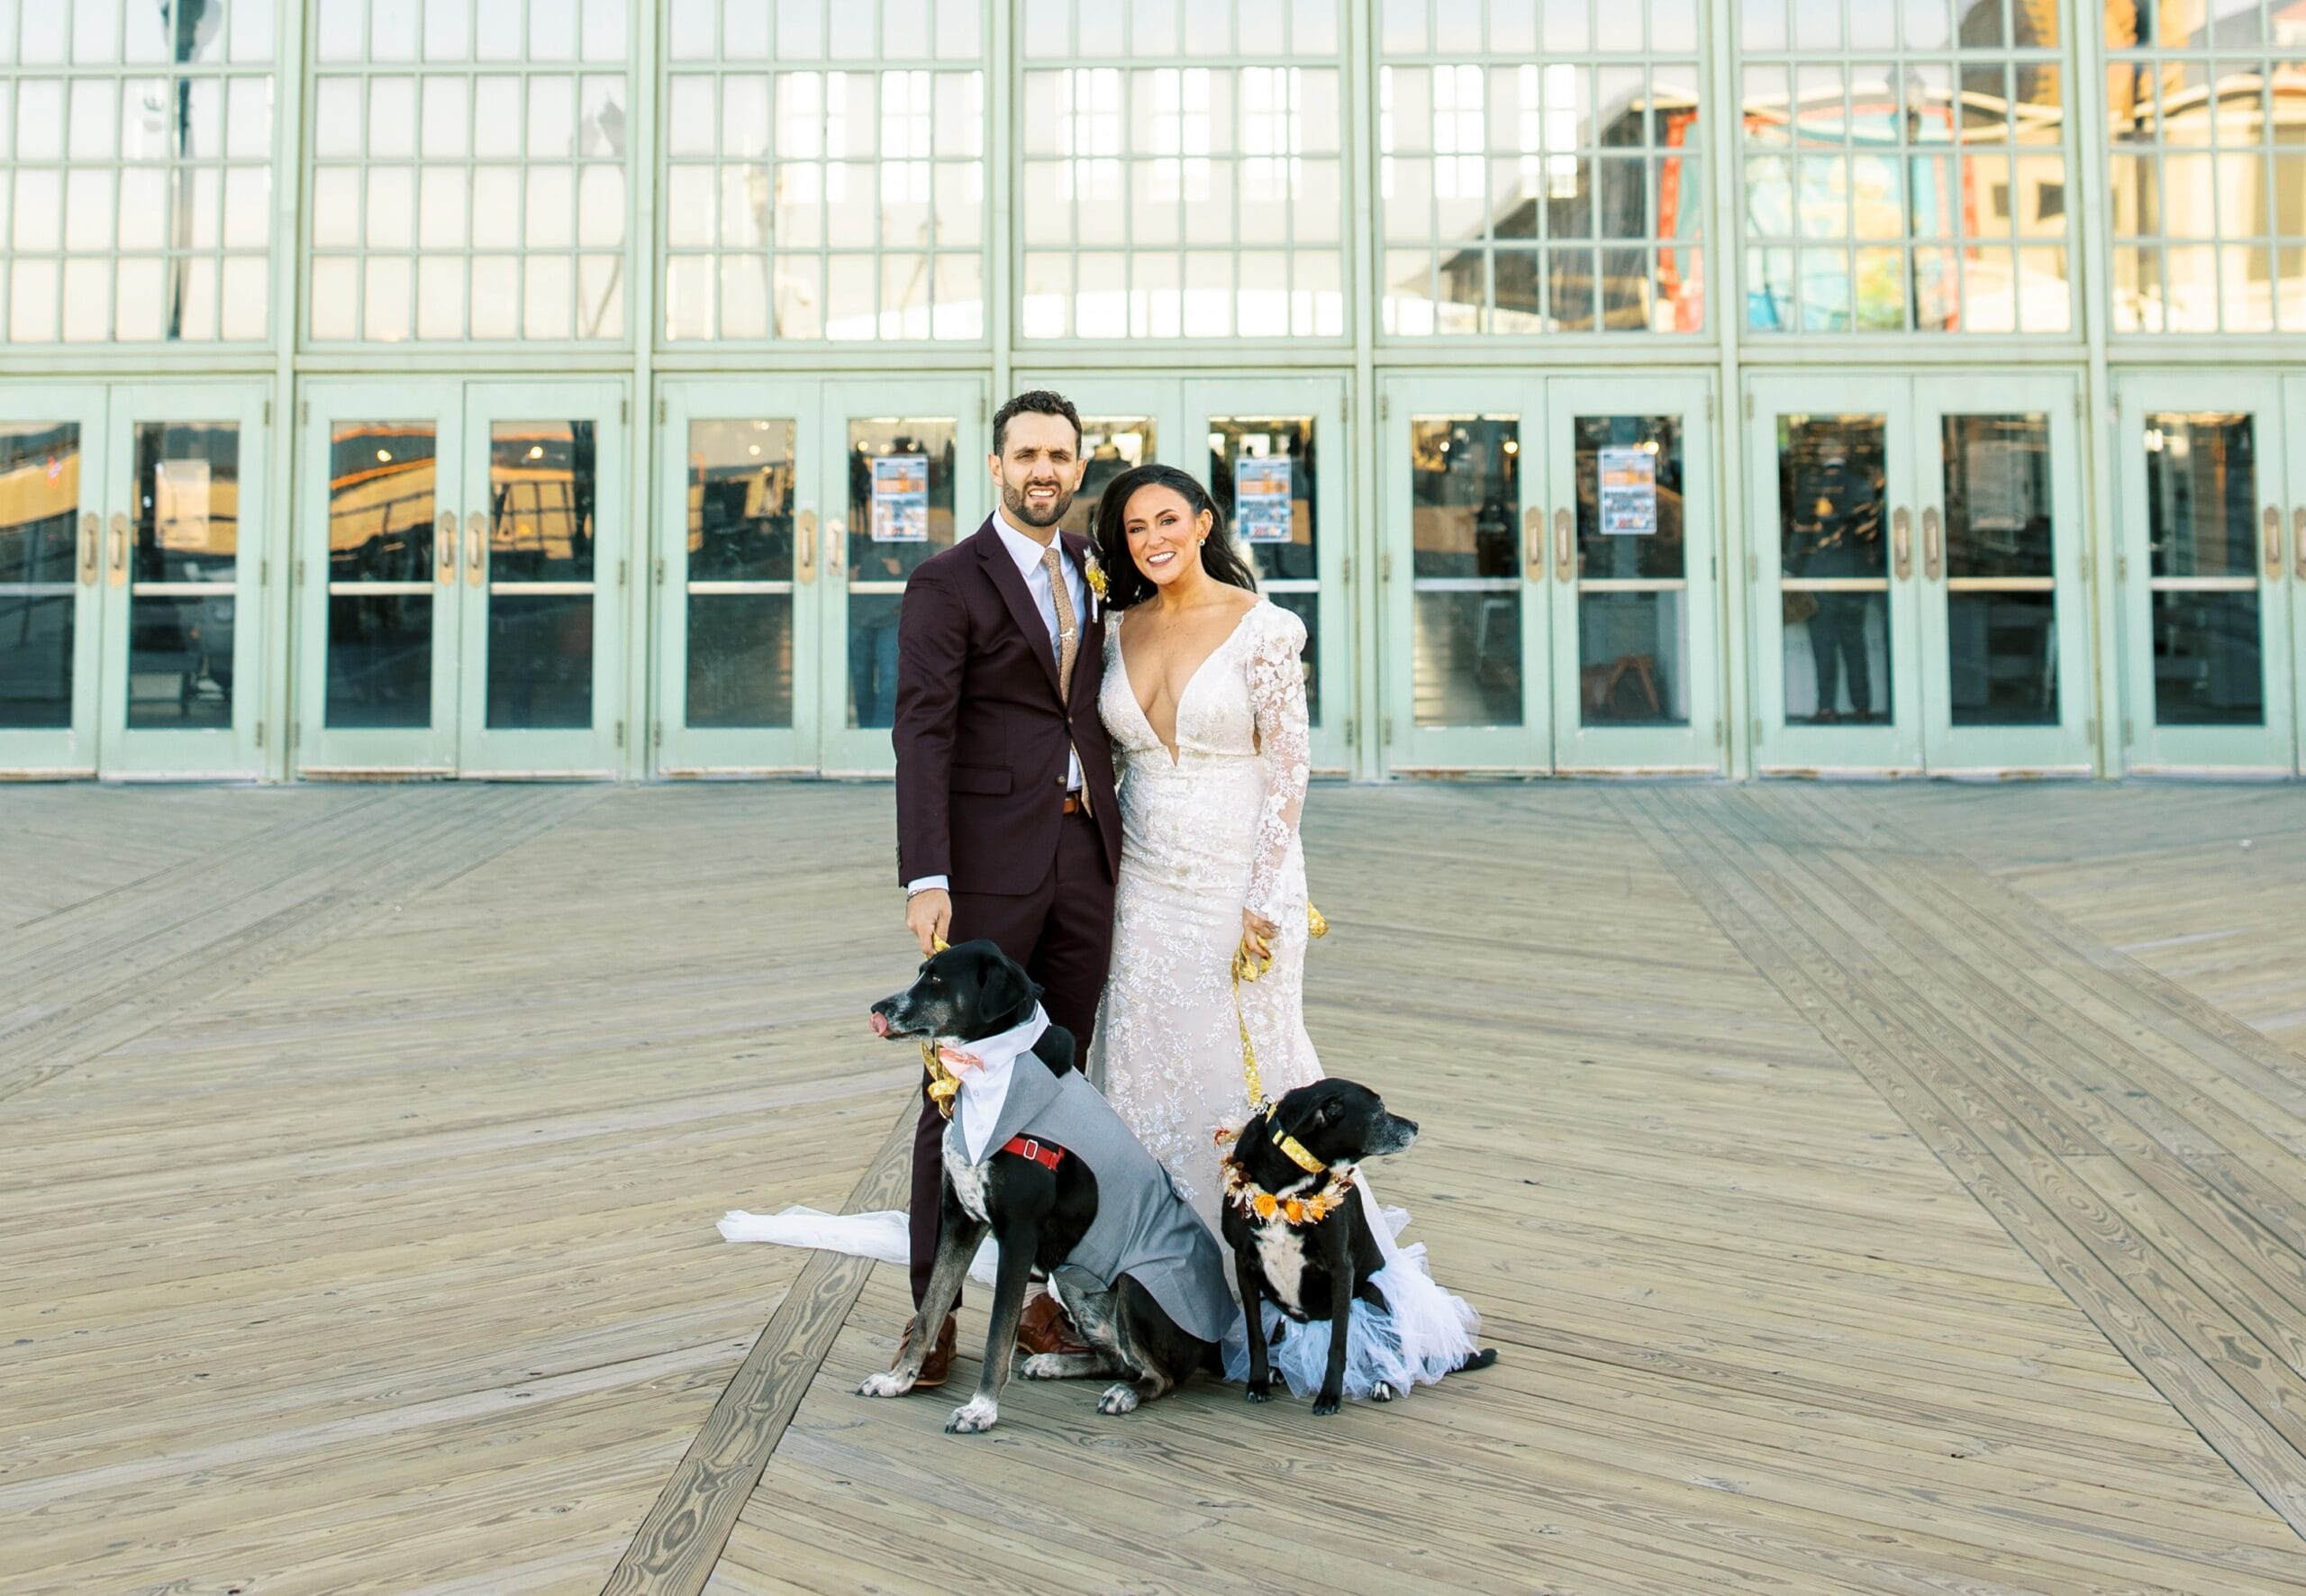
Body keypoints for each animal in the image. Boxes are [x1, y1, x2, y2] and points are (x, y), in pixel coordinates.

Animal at [867, 936, 1226, 1429]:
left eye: (937, 979)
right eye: (923, 971)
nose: (876, 1008)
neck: (994, 1073)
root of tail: (1218, 1344)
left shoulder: (1018, 1235)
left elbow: (999, 1333)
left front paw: (981, 1410)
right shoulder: (960, 1220)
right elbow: (931, 1309)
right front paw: (898, 1379)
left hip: (1136, 1285)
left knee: (1158, 1375)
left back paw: (1125, 1394)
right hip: (1076, 1281)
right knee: (1117, 1357)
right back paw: (1055, 1363)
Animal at [1226, 1079, 1493, 1411]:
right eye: (1378, 1110)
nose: (1416, 1126)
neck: (1290, 1181)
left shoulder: (1341, 1268)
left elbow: (1338, 1342)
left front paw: (1329, 1395)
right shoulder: (1244, 1263)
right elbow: (1255, 1336)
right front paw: (1258, 1382)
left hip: (1373, 1292)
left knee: (1390, 1353)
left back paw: (1383, 1382)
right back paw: (1279, 1370)